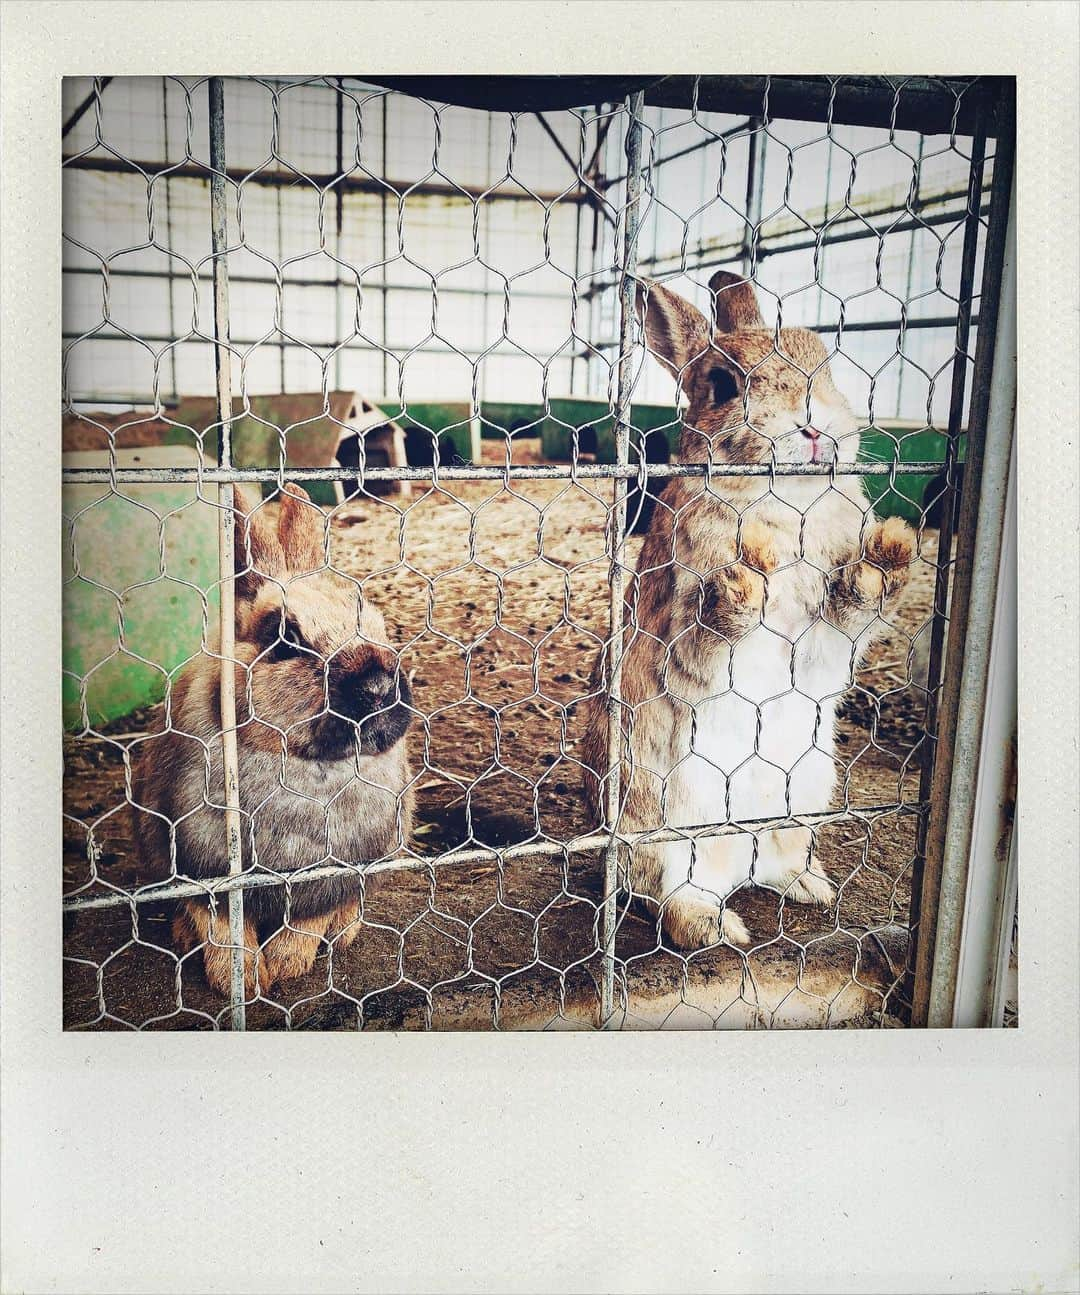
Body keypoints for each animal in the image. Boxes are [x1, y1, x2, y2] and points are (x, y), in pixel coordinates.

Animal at [127, 481, 411, 994]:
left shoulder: (328, 880)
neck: (308, 765)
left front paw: (285, 966)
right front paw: (243, 982)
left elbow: (307, 923)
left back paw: (344, 932)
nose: (379, 687)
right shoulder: (206, 871)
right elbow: (223, 926)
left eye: (380, 627)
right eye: (285, 639)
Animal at [585, 268, 911, 953]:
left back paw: (812, 888)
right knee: (672, 901)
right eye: (724, 385)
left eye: (825, 363)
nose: (814, 427)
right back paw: (715, 927)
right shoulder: (683, 640)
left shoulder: (827, 640)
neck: (788, 499)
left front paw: (890, 552)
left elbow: (853, 610)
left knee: (777, 865)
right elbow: (709, 639)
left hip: (802, 801)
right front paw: (746, 576)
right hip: (667, 824)